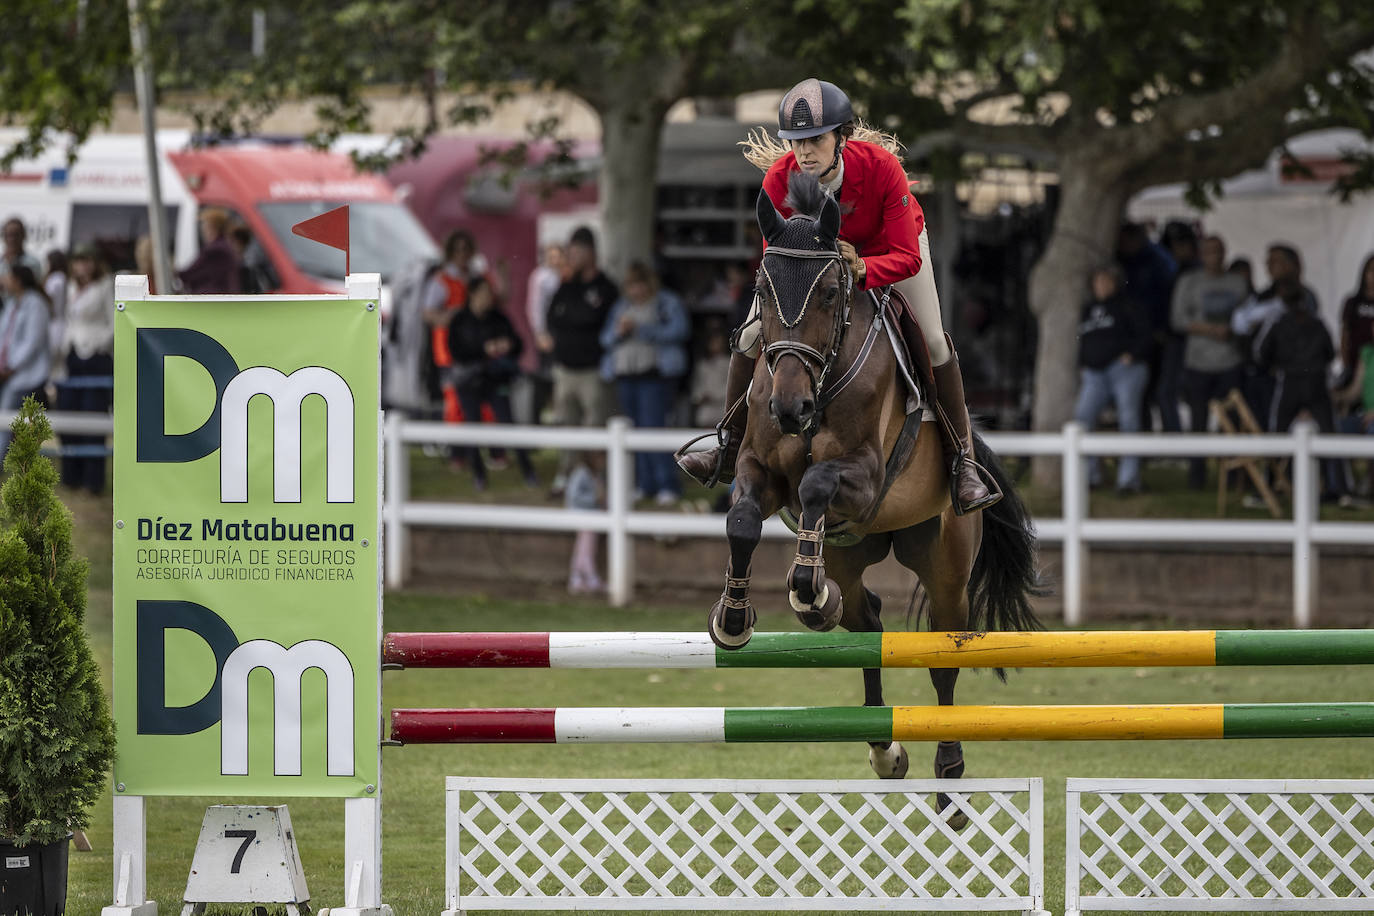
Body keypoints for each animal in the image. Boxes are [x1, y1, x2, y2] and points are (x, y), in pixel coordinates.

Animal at [708, 168, 1038, 813]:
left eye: (830, 293)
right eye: (763, 290)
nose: (790, 409)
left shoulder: (865, 479)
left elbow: (817, 481)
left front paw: (801, 590)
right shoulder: (760, 469)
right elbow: (742, 521)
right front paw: (735, 618)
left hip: (945, 563)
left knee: (941, 658)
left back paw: (949, 774)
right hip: (853, 553)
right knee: (867, 625)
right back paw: (881, 739)